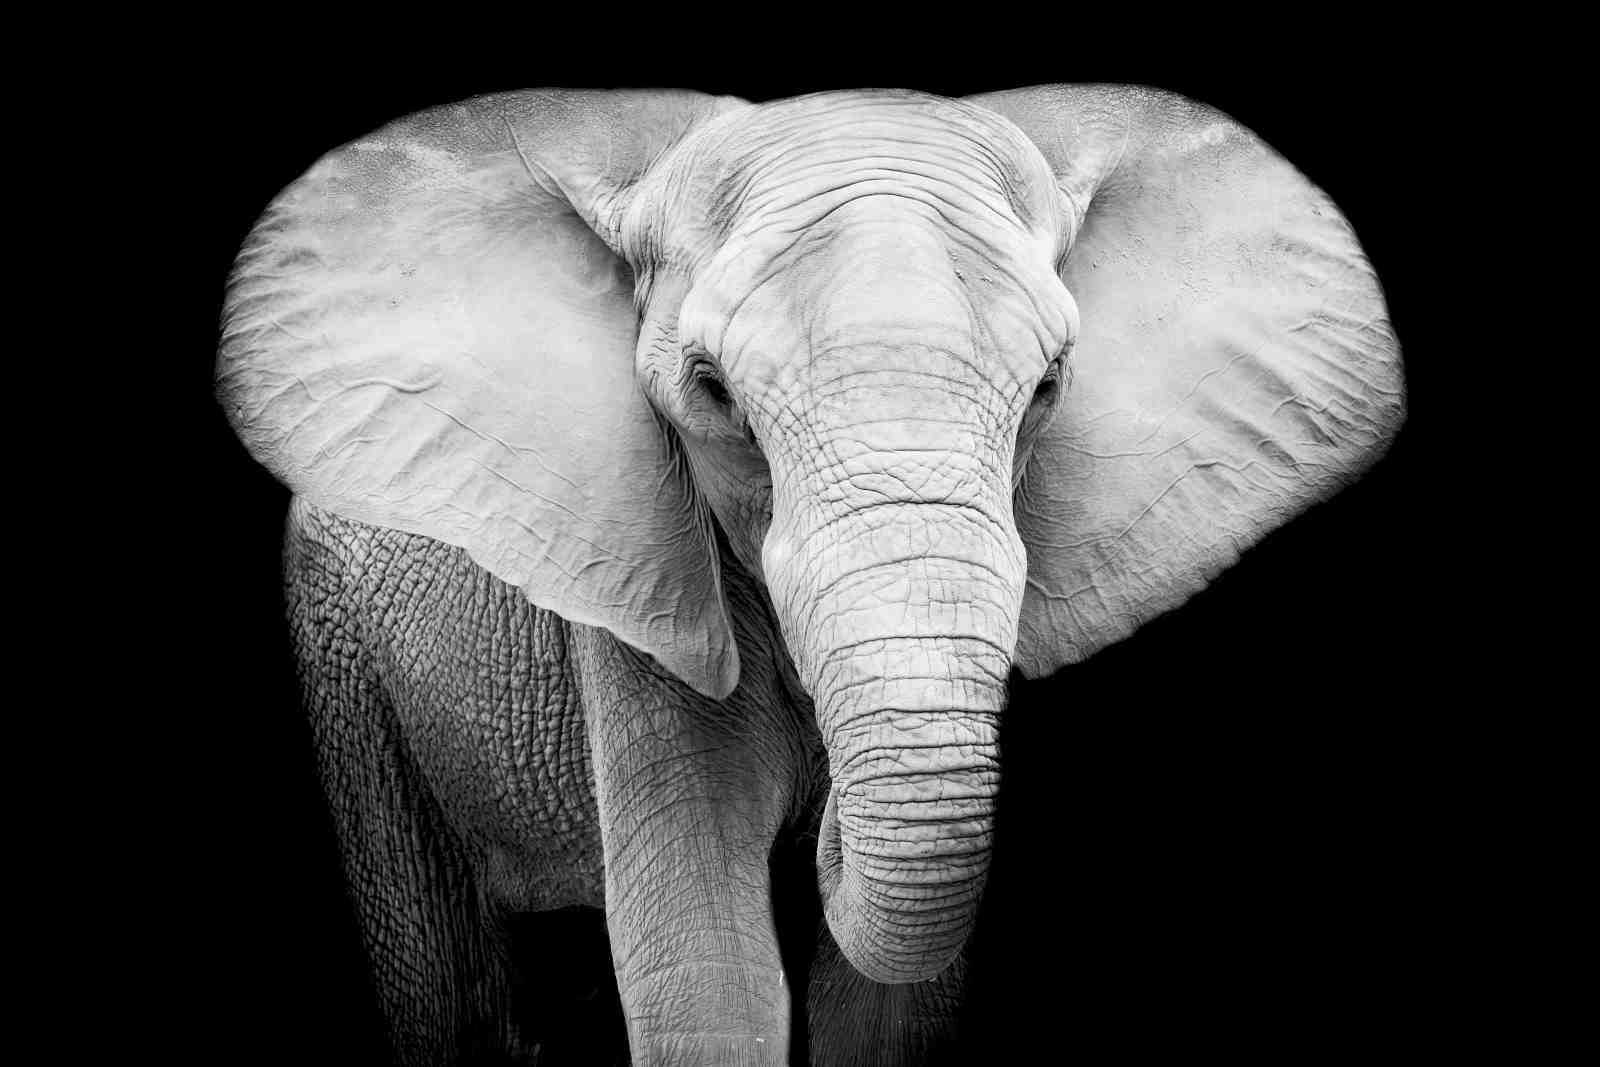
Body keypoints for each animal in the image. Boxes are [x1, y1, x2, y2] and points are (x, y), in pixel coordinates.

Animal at [215, 84, 1404, 1064]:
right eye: (711, 392)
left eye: (1050, 387)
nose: (823, 826)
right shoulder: (643, 601)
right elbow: (707, 971)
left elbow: (881, 1015)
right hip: (341, 644)